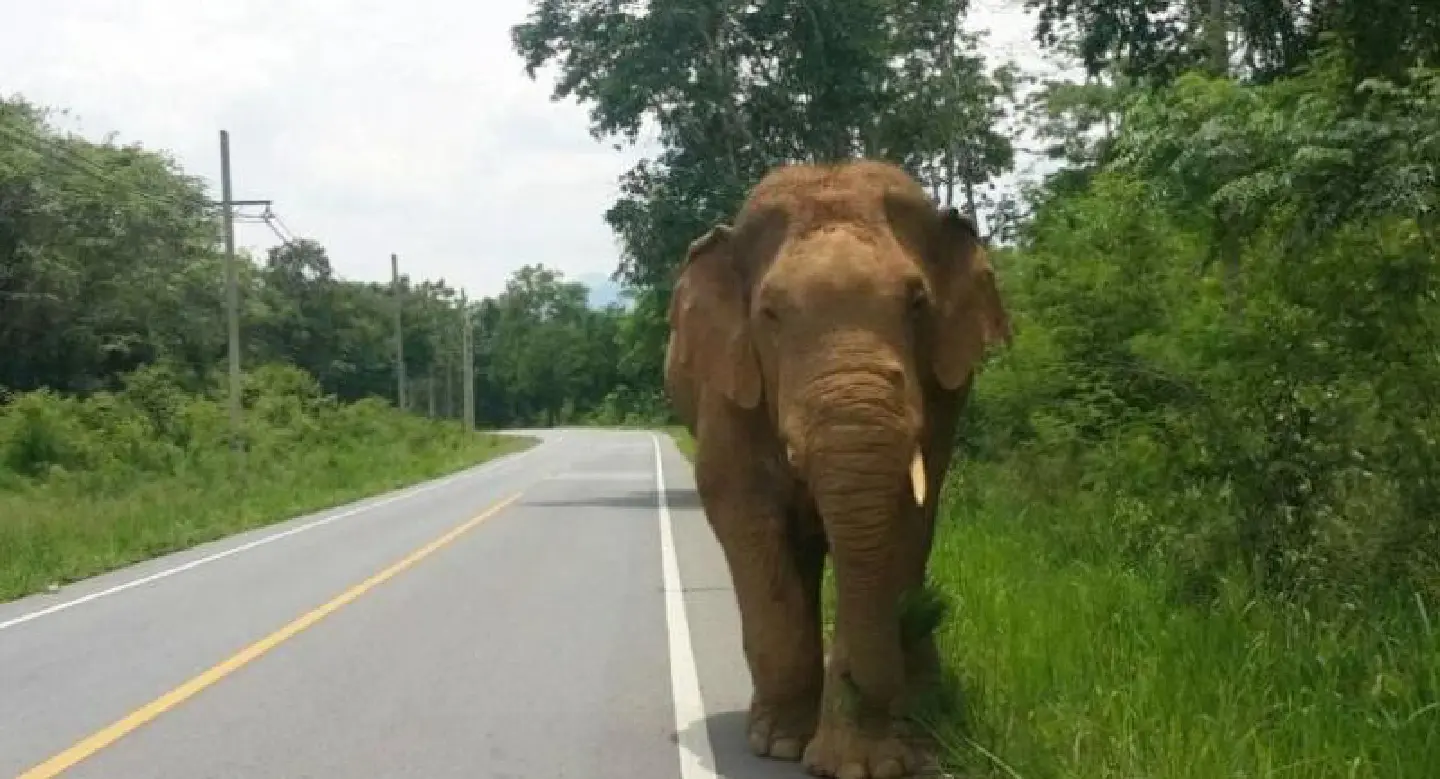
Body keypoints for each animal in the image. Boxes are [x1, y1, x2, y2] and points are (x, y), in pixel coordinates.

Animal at [663, 159, 1011, 779]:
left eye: (917, 304)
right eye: (770, 314)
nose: (924, 615)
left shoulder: (943, 393)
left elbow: (905, 525)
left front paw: (866, 761)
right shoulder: (728, 385)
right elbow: (742, 511)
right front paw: (780, 746)